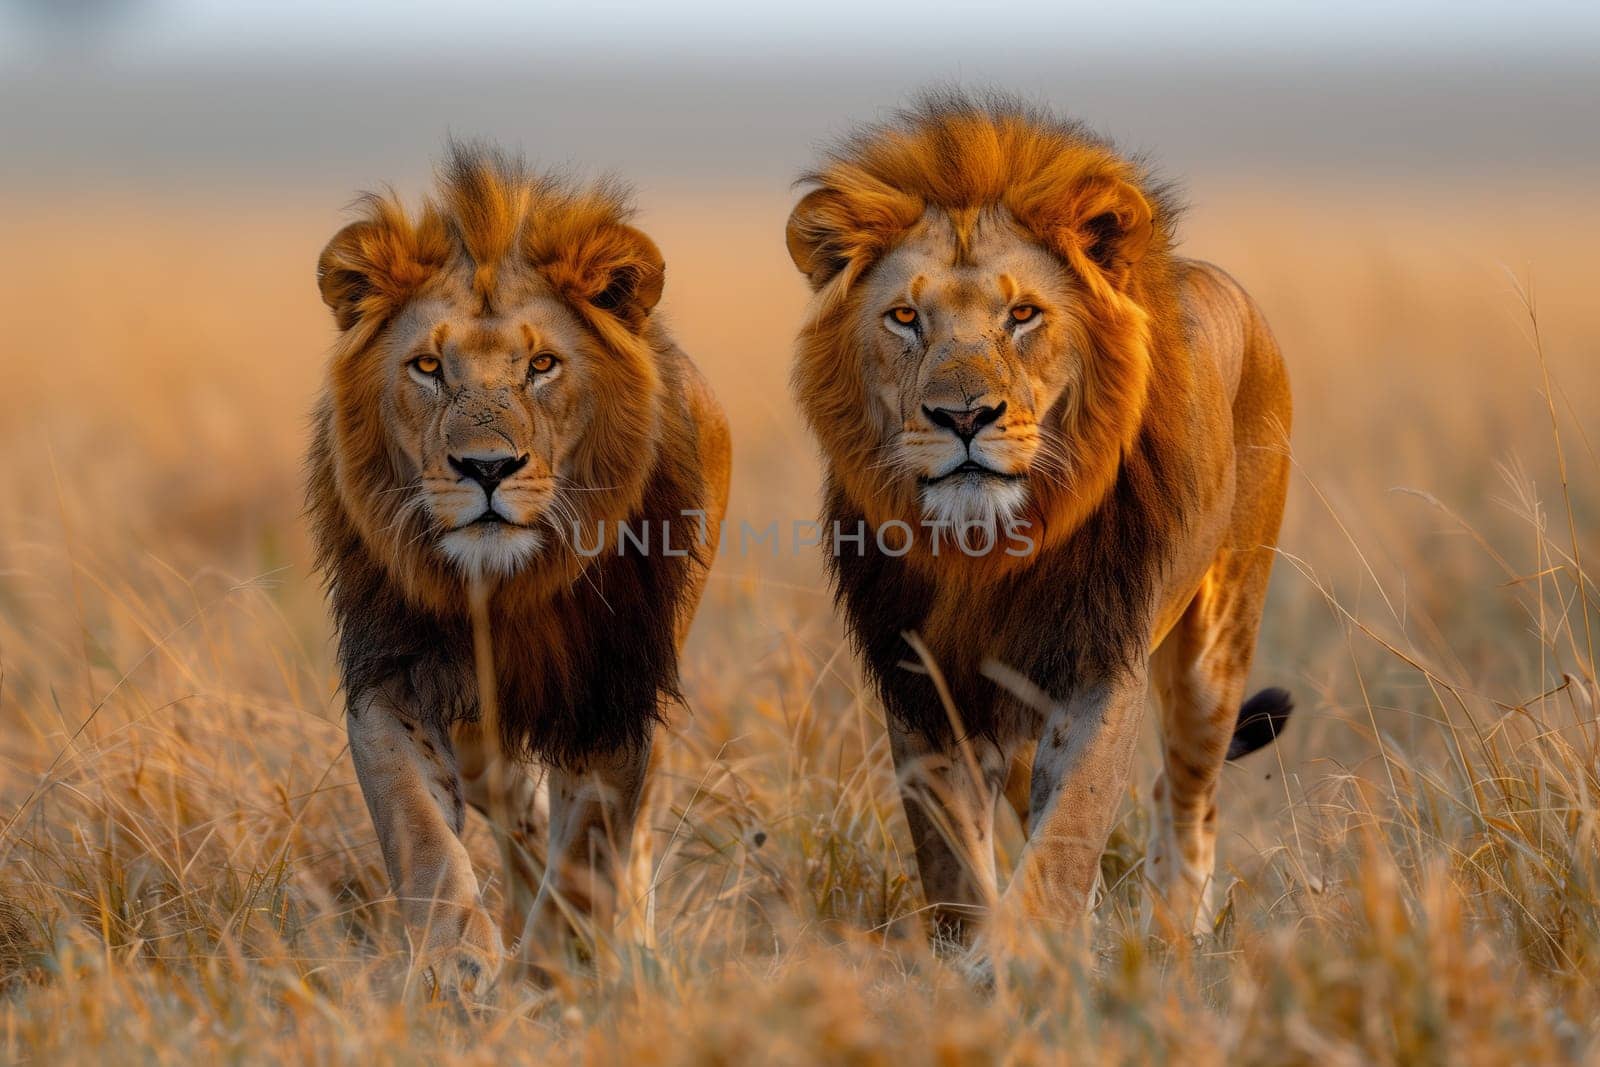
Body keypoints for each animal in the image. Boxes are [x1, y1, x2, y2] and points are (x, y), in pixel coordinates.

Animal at [304, 143, 732, 1004]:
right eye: (427, 366)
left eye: (542, 365)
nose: (487, 467)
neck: (505, 588)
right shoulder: (391, 671)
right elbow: (420, 826)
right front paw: (456, 961)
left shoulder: (614, 688)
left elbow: (593, 841)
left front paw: (556, 967)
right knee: (514, 803)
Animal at [787, 91, 1299, 940]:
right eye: (905, 318)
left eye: (1023, 315)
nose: (964, 415)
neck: (989, 551)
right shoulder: (923, 675)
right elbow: (952, 856)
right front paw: (979, 949)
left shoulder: (1099, 658)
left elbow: (1073, 826)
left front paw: (1024, 948)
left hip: (1219, 644)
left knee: (1185, 795)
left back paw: (1178, 929)